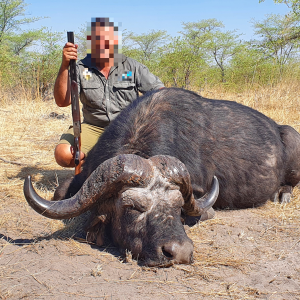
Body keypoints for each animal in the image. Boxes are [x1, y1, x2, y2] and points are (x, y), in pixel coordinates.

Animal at [23, 88, 300, 266]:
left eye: (178, 207)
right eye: (133, 207)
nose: (179, 253)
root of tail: (278, 128)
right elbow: (60, 192)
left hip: (292, 139)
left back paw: (282, 194)